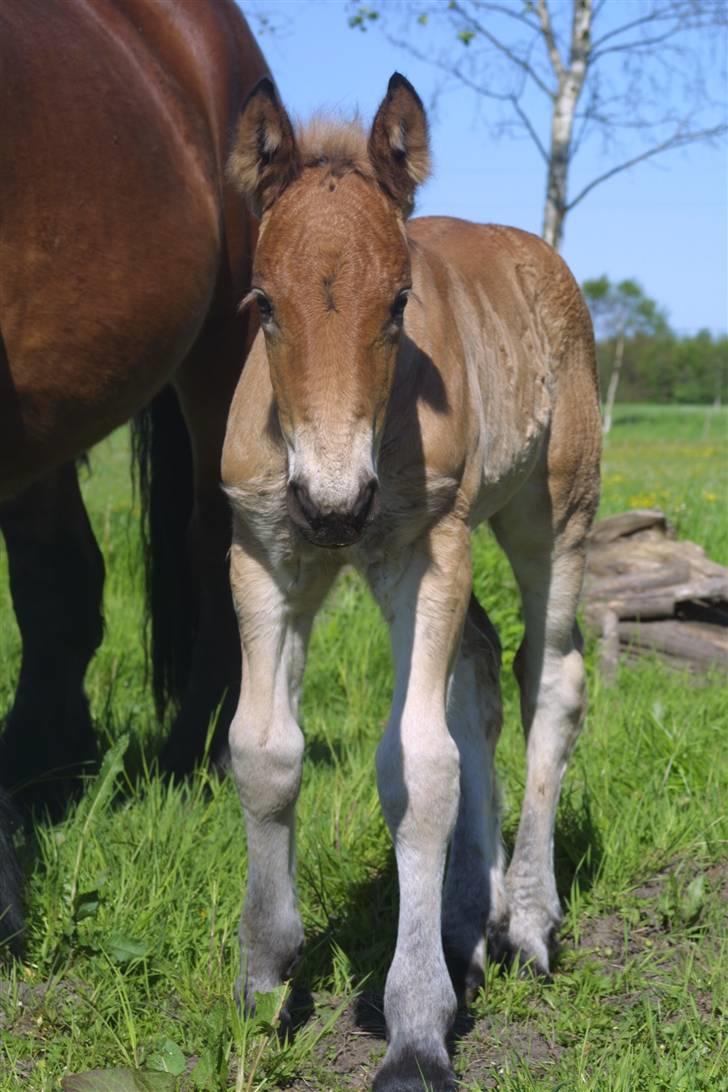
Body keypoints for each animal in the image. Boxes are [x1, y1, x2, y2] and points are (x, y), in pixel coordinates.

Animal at [224, 76, 602, 1092]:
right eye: (262, 304)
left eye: (398, 303)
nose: (334, 504)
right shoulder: (265, 553)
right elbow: (263, 751)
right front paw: (265, 976)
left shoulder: (425, 550)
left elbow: (418, 769)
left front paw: (417, 1030)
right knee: (479, 667)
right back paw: (475, 919)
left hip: (553, 512)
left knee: (550, 675)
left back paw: (529, 920)